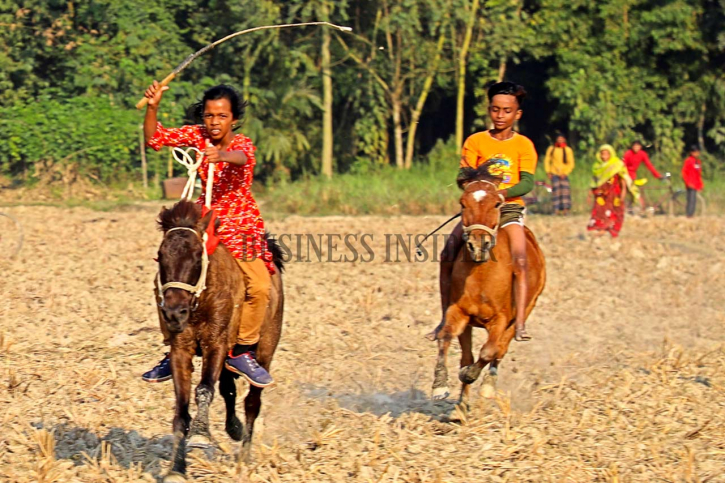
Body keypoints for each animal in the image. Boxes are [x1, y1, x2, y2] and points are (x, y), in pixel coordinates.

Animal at [154, 201, 284, 483]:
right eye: (160, 255)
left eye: (196, 256)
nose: (174, 313)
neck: (200, 300)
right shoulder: (181, 349)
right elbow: (181, 410)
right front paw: (176, 469)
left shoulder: (216, 344)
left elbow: (204, 390)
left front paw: (201, 435)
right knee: (228, 389)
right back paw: (234, 428)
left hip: (266, 346)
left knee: (252, 401)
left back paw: (244, 456)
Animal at [430, 168, 544, 406]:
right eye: (463, 203)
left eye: (497, 203)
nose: (478, 244)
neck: (482, 276)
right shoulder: (458, 311)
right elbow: (447, 337)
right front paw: (441, 385)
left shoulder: (500, 319)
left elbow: (489, 351)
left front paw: (471, 375)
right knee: (468, 354)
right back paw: (462, 404)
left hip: (523, 313)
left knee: (501, 349)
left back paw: (488, 385)